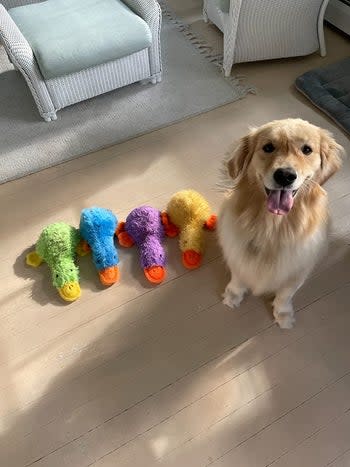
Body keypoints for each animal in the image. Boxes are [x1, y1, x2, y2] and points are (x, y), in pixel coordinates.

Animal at [217, 118, 344, 330]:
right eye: (268, 147)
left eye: (307, 150)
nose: (285, 175)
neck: (274, 227)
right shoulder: (237, 253)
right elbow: (238, 277)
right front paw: (233, 295)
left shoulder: (298, 269)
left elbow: (285, 294)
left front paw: (283, 314)